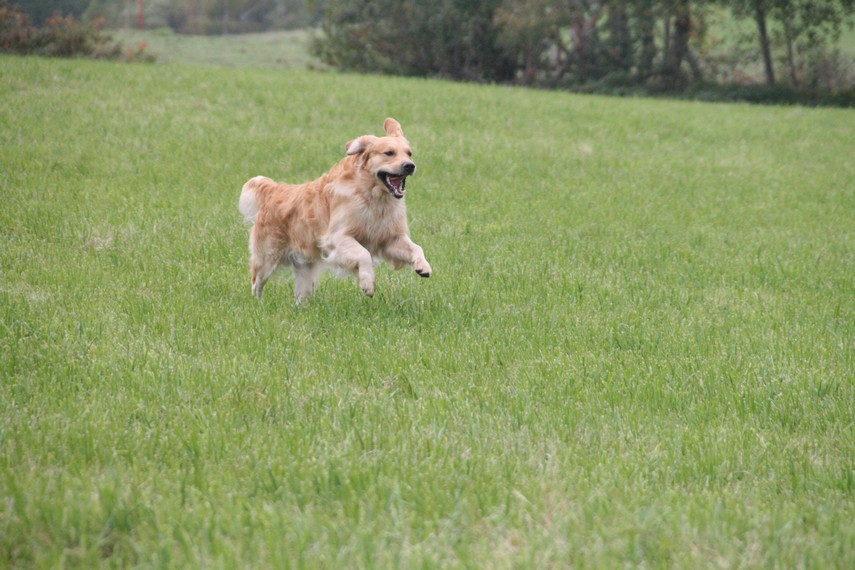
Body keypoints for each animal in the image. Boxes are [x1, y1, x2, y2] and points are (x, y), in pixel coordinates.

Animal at [238, 118, 432, 302]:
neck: (371, 196)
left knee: (301, 295)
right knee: (257, 282)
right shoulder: (337, 238)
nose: (410, 165)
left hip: (305, 266)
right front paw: (367, 284)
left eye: (409, 153)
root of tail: (274, 189)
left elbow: (416, 247)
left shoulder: (390, 238)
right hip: (267, 257)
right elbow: (364, 254)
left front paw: (423, 266)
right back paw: (259, 304)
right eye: (389, 153)